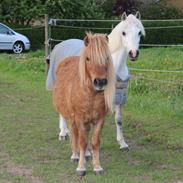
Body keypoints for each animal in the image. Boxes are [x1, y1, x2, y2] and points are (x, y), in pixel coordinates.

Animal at [46, 12, 145, 151]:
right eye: (123, 32)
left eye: (139, 32)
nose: (133, 53)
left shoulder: (119, 97)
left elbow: (119, 120)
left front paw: (122, 143)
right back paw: (63, 133)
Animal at [53, 33, 115, 176]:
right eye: (88, 58)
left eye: (107, 58)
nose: (100, 82)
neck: (91, 95)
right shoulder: (79, 118)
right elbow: (81, 141)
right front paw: (81, 168)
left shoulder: (99, 119)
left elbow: (95, 142)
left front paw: (97, 167)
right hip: (72, 117)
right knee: (75, 134)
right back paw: (75, 155)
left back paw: (86, 154)